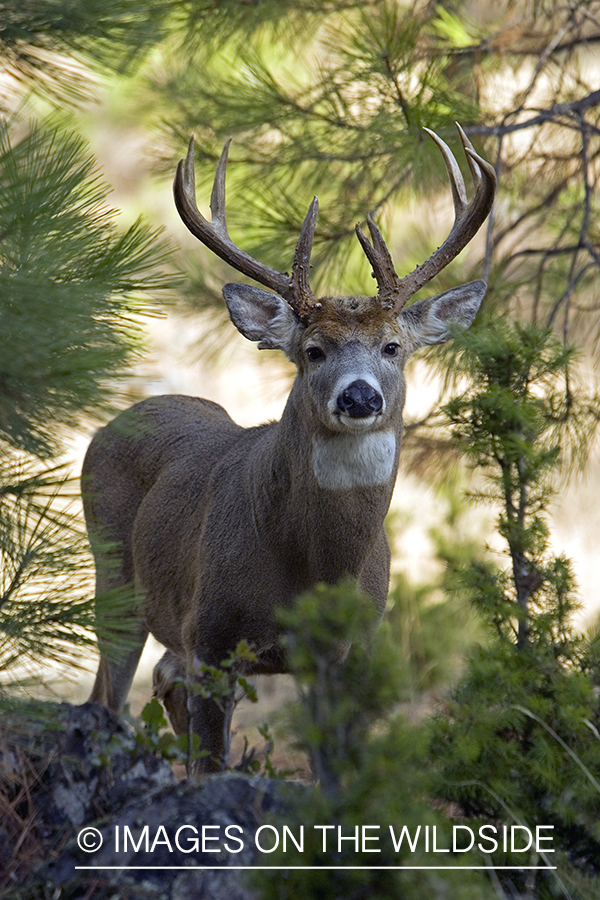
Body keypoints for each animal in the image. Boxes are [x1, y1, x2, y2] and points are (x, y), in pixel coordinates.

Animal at [84, 125, 496, 772]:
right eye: (312, 350)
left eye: (393, 346)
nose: (359, 396)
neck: (313, 570)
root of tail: (114, 424)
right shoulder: (213, 637)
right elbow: (210, 762)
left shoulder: (350, 651)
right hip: (117, 579)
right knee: (109, 694)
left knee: (161, 676)